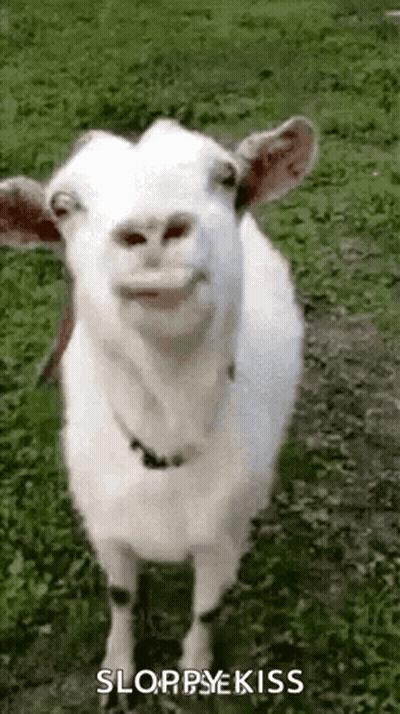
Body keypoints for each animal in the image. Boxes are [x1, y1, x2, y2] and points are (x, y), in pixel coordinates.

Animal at [1, 117, 316, 708]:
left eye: (225, 177)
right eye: (62, 205)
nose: (151, 230)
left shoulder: (222, 538)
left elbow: (207, 608)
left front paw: (193, 671)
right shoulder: (106, 526)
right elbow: (121, 597)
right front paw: (119, 671)